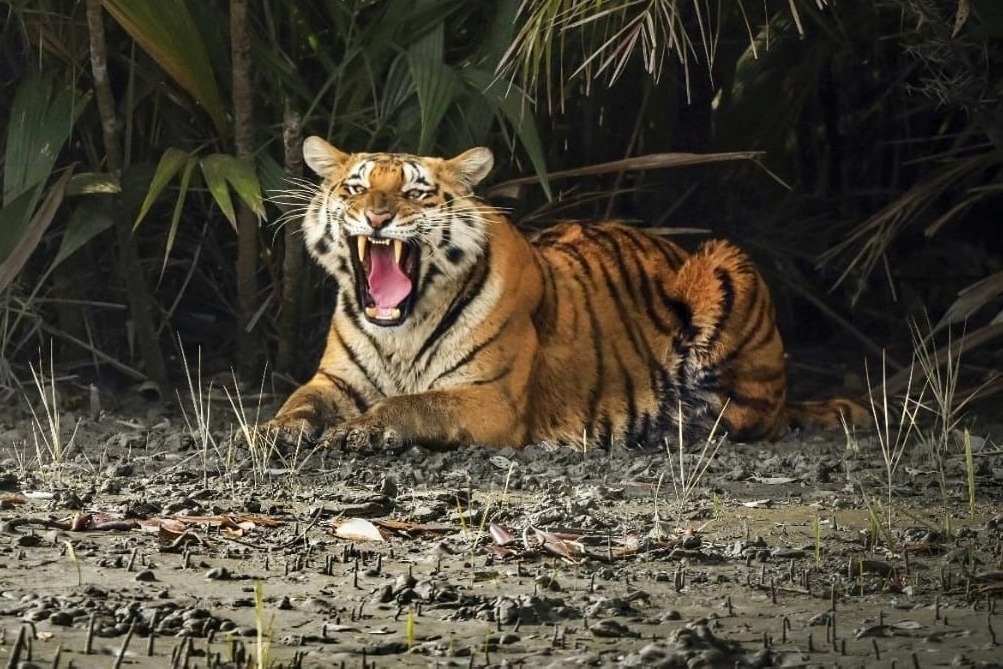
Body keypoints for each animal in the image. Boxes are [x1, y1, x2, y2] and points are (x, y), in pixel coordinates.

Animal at [262, 136, 869, 453]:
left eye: (415, 192)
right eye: (356, 187)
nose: (377, 217)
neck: (400, 331)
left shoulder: (490, 398)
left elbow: (414, 404)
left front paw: (359, 430)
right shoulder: (334, 380)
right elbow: (299, 401)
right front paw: (271, 430)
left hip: (727, 265)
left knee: (744, 417)